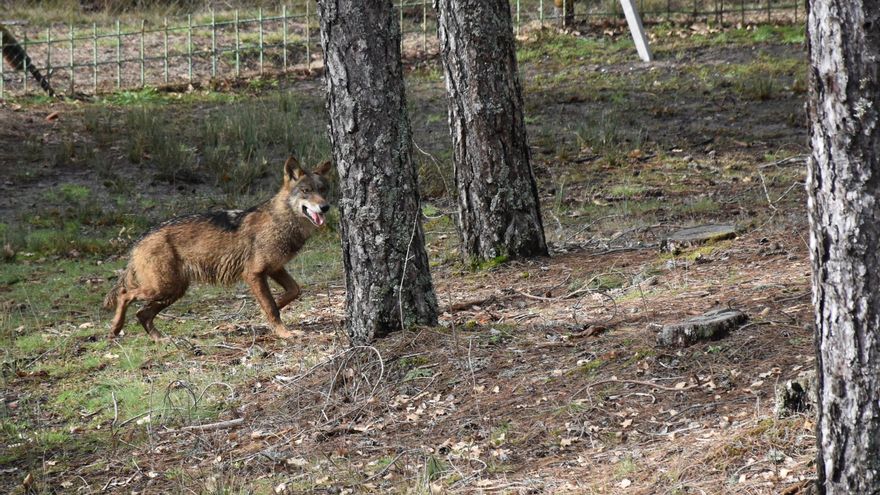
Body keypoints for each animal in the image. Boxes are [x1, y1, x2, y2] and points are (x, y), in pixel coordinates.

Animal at [104, 156, 332, 341]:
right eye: (306, 191)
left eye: (323, 190)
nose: (325, 207)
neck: (281, 221)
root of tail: (139, 240)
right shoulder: (254, 274)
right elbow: (271, 308)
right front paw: (284, 332)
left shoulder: (275, 269)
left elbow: (293, 291)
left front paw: (274, 306)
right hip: (163, 288)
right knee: (124, 294)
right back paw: (115, 329)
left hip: (173, 290)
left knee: (142, 314)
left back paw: (160, 339)